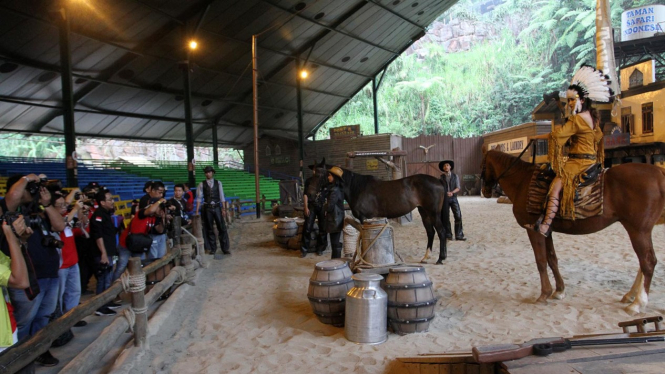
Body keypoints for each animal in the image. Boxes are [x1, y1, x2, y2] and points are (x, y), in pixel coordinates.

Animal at [308, 165, 448, 264]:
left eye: (319, 175)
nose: (310, 195)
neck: (358, 188)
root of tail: (438, 181)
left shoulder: (365, 218)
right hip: (424, 212)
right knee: (431, 232)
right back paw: (426, 257)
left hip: (433, 213)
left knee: (441, 232)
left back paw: (440, 259)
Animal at [480, 150, 664, 316]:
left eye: (482, 165)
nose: (485, 191)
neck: (522, 182)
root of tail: (658, 172)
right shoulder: (546, 230)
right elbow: (552, 259)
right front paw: (559, 290)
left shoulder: (533, 231)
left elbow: (541, 261)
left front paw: (544, 293)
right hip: (640, 230)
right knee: (643, 263)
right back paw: (631, 296)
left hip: (638, 230)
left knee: (648, 262)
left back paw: (637, 303)